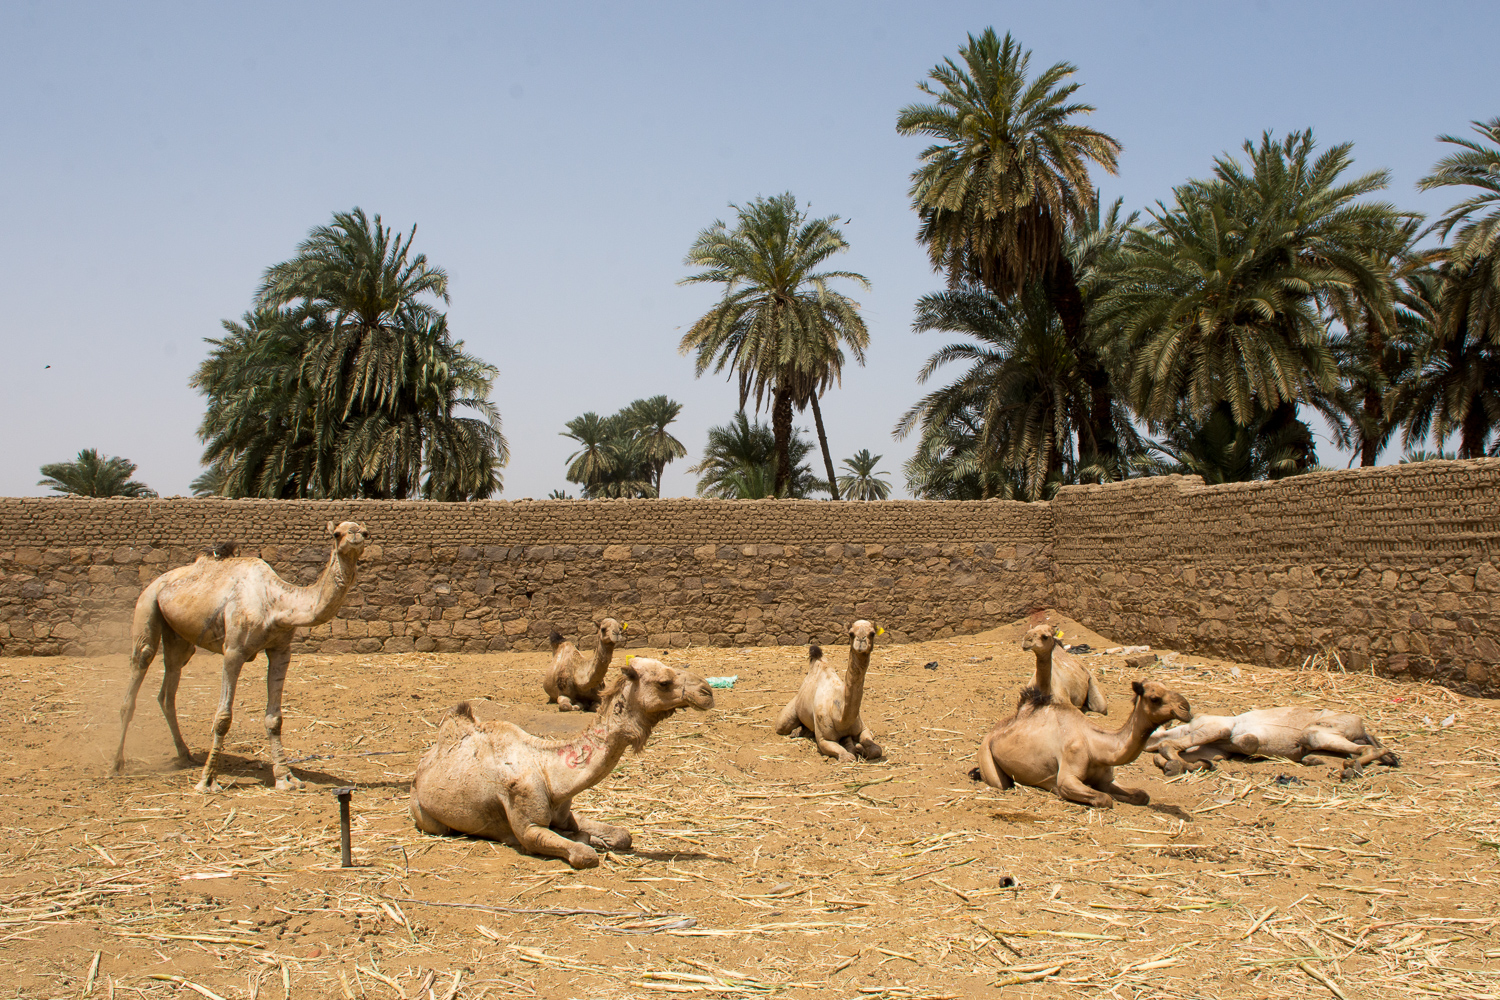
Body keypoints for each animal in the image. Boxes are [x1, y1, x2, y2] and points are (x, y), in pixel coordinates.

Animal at [112, 521, 367, 791]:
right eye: (336, 534)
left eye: (365, 532)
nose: (355, 535)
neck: (275, 603)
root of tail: (158, 580)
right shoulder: (233, 650)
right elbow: (223, 717)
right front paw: (207, 781)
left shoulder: (281, 650)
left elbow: (274, 719)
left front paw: (286, 778)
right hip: (147, 603)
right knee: (141, 661)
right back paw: (116, 764)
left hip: (178, 635)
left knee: (169, 686)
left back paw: (185, 755)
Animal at [411, 656, 714, 869]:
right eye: (664, 682)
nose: (707, 692)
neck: (551, 774)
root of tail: (423, 765)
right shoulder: (529, 826)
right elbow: (583, 854)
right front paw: (585, 843)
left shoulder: (567, 812)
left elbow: (621, 834)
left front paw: (598, 837)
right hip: (425, 815)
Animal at [780, 620, 882, 761]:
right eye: (851, 633)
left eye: (872, 633)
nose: (861, 641)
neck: (839, 716)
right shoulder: (824, 739)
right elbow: (847, 756)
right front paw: (856, 749)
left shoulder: (863, 728)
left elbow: (876, 750)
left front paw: (859, 747)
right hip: (786, 718)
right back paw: (794, 732)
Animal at [972, 656, 1194, 815]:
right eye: (1155, 698)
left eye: (1169, 688)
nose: (1186, 708)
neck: (1095, 746)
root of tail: (992, 732)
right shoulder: (1068, 775)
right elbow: (1104, 798)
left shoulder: (1106, 778)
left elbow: (1141, 795)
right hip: (987, 756)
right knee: (1001, 783)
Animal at [1140, 704, 1398, 779]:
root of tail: (1362, 725)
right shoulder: (1212, 749)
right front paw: (1194, 766)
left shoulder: (1217, 729)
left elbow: (1166, 747)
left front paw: (1176, 766)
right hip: (1318, 741)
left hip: (1316, 732)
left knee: (1369, 748)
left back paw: (1353, 769)